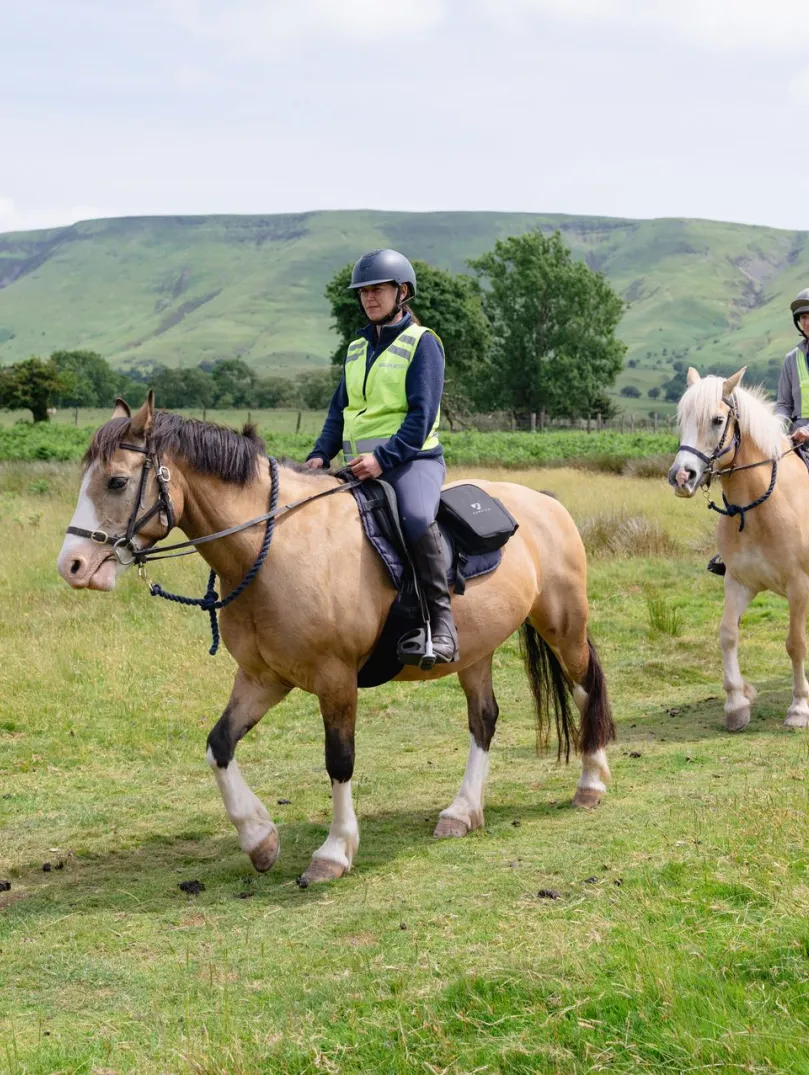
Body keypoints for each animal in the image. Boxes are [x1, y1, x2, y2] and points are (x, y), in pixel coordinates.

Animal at [56, 394, 615, 885]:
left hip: (563, 625)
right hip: (474, 651)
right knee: (484, 719)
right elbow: (219, 746)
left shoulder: (336, 678)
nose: (73, 566)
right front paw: (259, 840)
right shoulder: (262, 678)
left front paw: (333, 852)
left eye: (117, 481)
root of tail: (544, 502)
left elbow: (339, 760)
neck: (275, 545)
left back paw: (591, 783)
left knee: (585, 685)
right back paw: (461, 812)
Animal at [669, 366, 809, 732]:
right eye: (682, 419)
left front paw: (799, 707)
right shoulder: (739, 582)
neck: (756, 509)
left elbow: (795, 643)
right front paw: (737, 703)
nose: (681, 477)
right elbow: (728, 633)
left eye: (718, 420)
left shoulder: (799, 586)